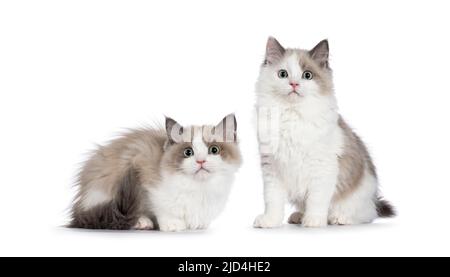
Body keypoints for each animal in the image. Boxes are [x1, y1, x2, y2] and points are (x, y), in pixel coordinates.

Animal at [69, 113, 243, 231]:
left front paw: (197, 224)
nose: (201, 161)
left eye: (214, 150)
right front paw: (172, 224)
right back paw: (142, 222)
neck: (200, 189)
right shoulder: (145, 175)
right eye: (188, 152)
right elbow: (161, 206)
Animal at [253, 37, 394, 226]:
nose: (294, 84)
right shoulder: (272, 169)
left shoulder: (322, 167)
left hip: (360, 197)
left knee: (365, 214)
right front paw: (270, 221)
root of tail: (373, 199)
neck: (292, 115)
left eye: (307, 75)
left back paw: (338, 218)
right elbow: (273, 200)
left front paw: (313, 221)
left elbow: (316, 200)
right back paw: (298, 216)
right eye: (283, 74)